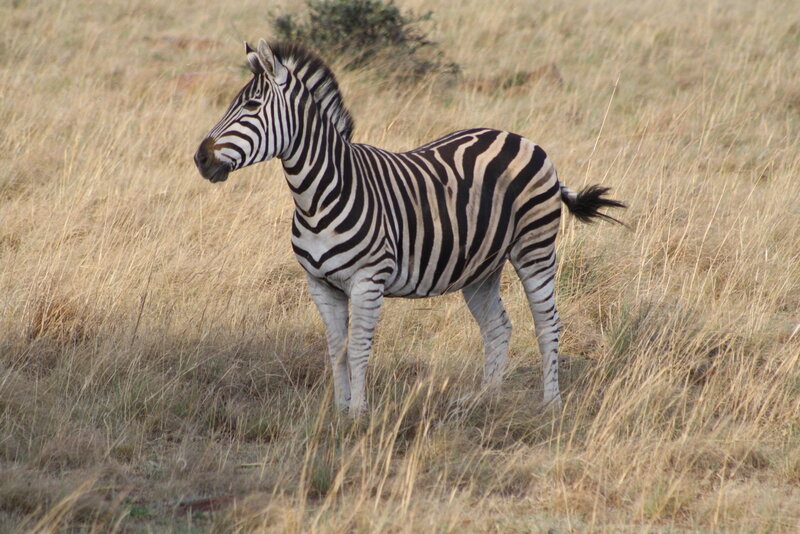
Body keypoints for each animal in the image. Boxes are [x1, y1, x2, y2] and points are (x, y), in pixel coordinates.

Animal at [194, 40, 624, 416]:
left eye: (251, 105)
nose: (200, 158)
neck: (316, 197)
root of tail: (523, 139)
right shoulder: (320, 284)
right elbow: (336, 349)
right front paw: (338, 411)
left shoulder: (368, 281)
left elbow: (359, 348)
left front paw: (358, 415)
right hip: (481, 266)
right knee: (498, 327)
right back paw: (484, 400)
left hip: (535, 248)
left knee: (547, 323)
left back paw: (550, 405)